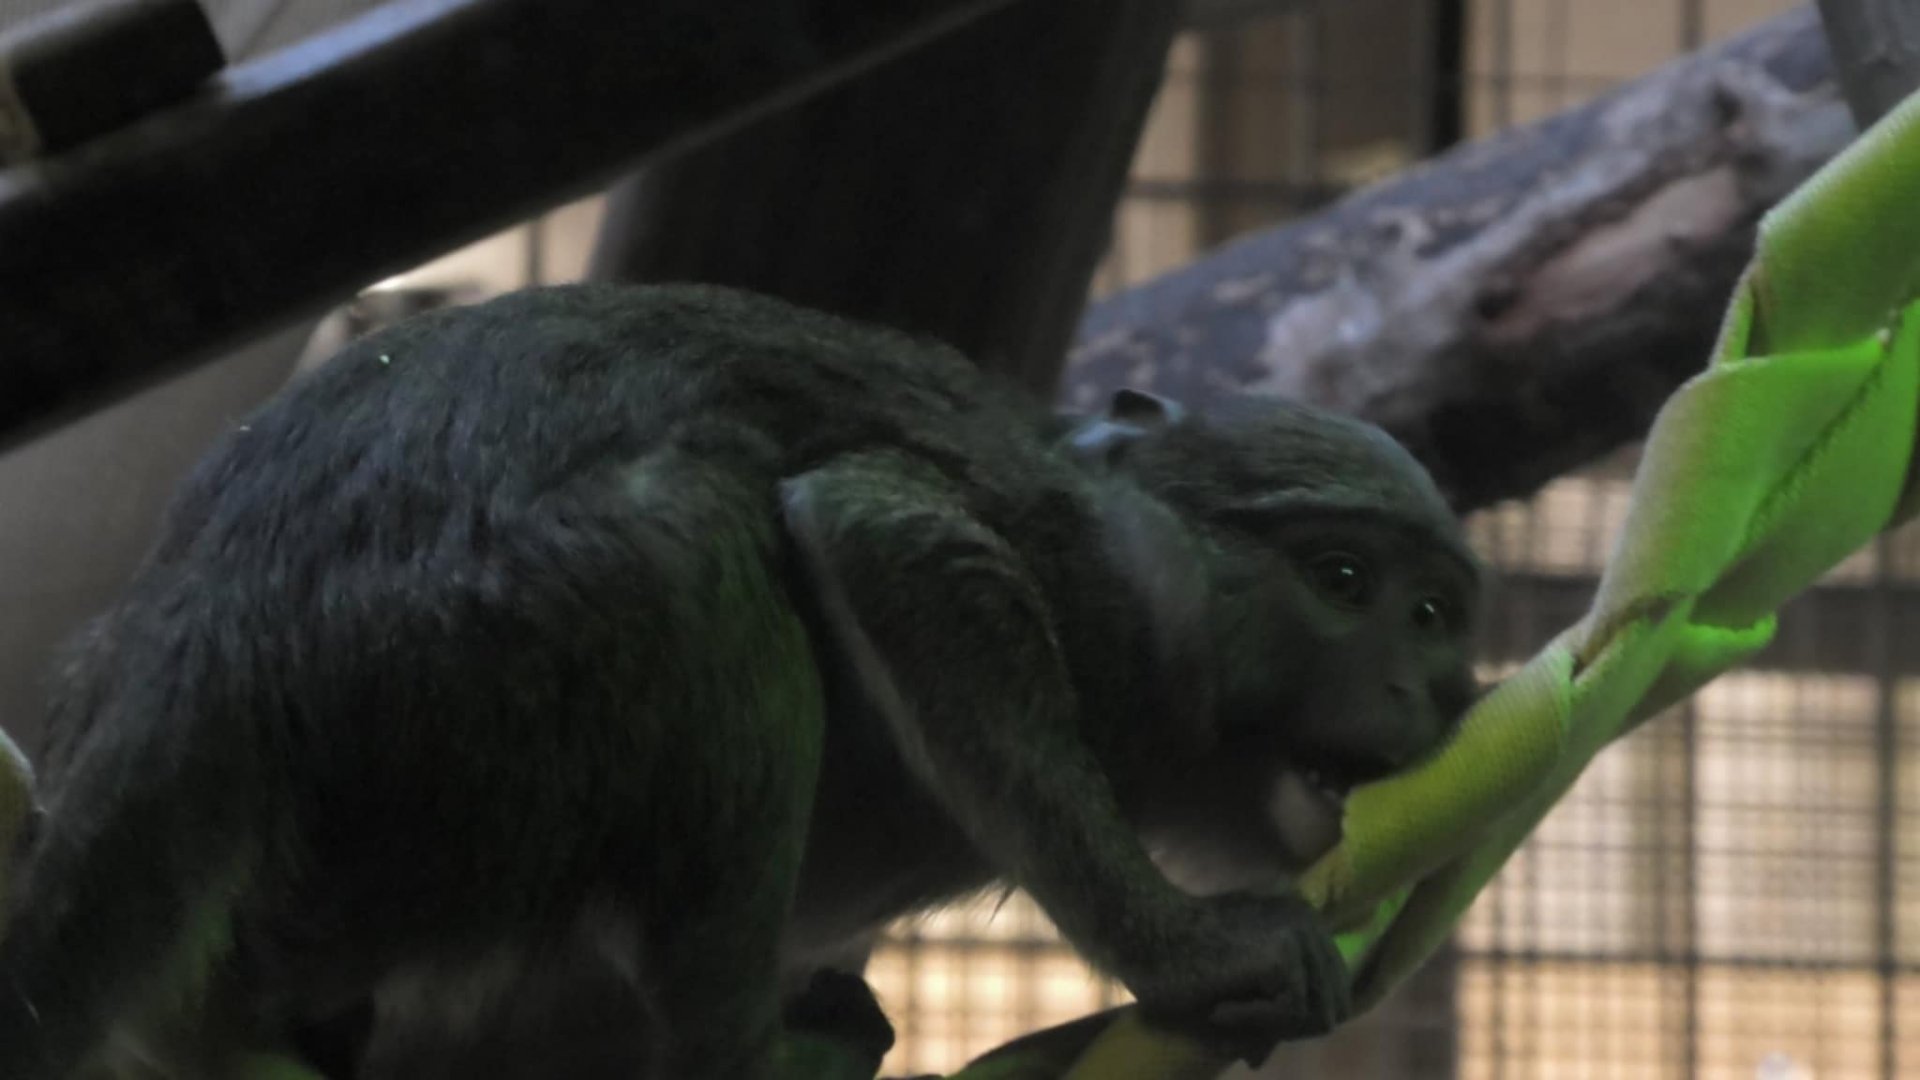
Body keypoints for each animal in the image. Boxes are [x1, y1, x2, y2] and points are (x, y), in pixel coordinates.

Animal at [0, 281, 1480, 1079]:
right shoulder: (1088, 587)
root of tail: (217, 631)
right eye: (1346, 581)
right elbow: (881, 530)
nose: (1436, 692)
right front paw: (1189, 954)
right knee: (705, 541)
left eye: (1437, 618)